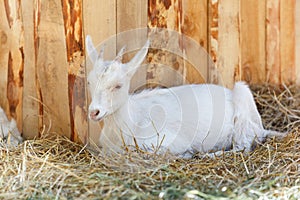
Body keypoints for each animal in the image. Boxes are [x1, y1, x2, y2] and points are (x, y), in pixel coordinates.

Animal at [85, 36, 282, 158]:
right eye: (89, 82)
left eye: (117, 85)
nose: (94, 112)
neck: (133, 119)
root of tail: (261, 128)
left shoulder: (167, 142)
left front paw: (187, 154)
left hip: (242, 101)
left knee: (243, 147)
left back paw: (209, 154)